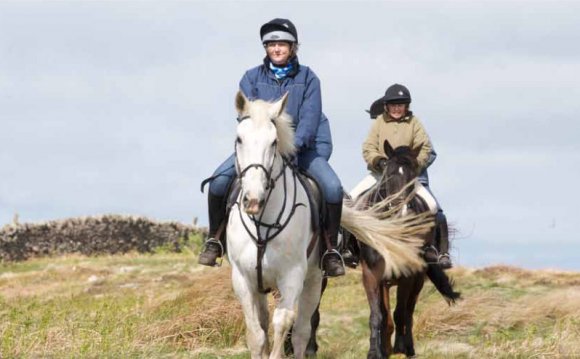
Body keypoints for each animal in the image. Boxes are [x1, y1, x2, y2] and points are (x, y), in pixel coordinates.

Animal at [227, 92, 430, 359]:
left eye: (273, 142)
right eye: (239, 139)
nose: (253, 199)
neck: (263, 224)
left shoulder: (292, 276)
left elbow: (283, 322)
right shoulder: (243, 279)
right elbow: (256, 333)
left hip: (314, 280)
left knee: (303, 329)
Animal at [358, 141, 462, 359]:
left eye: (413, 176)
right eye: (389, 173)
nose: (403, 212)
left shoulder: (407, 276)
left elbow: (400, 314)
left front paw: (399, 348)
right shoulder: (371, 274)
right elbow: (377, 315)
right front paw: (375, 351)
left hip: (418, 279)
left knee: (408, 313)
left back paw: (409, 348)